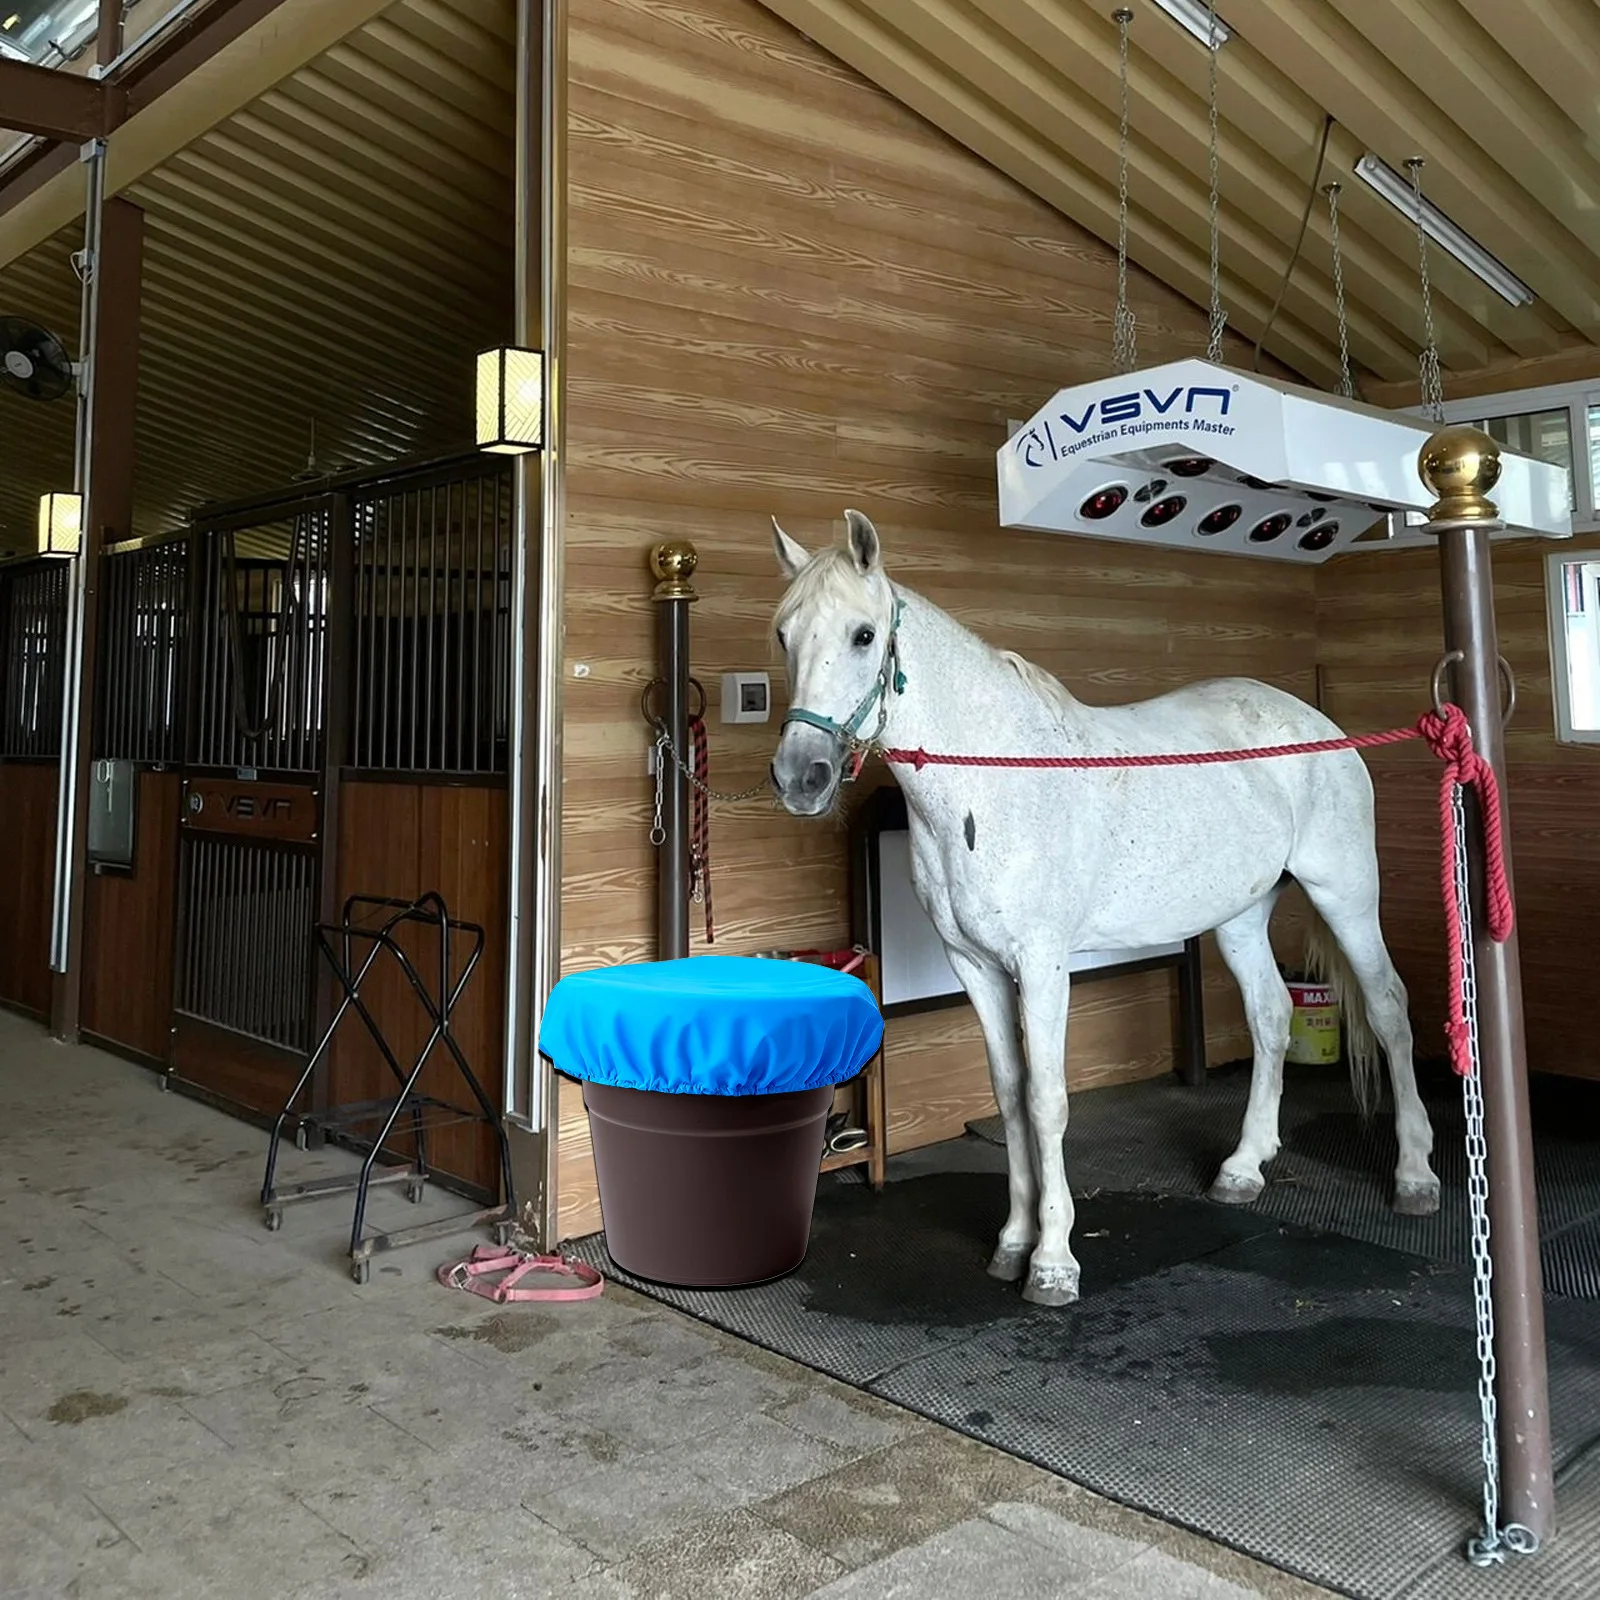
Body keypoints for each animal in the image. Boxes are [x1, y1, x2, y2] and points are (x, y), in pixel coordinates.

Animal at [767, 508, 1440, 1308]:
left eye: (864, 635)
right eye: (783, 634)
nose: (799, 777)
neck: (991, 784)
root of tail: (1318, 723)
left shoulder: (1042, 965)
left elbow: (1048, 1100)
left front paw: (1053, 1261)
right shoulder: (975, 967)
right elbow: (1010, 1093)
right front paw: (1012, 1241)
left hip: (1346, 893)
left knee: (1390, 1007)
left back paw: (1415, 1175)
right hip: (1240, 917)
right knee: (1273, 1016)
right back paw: (1243, 1167)